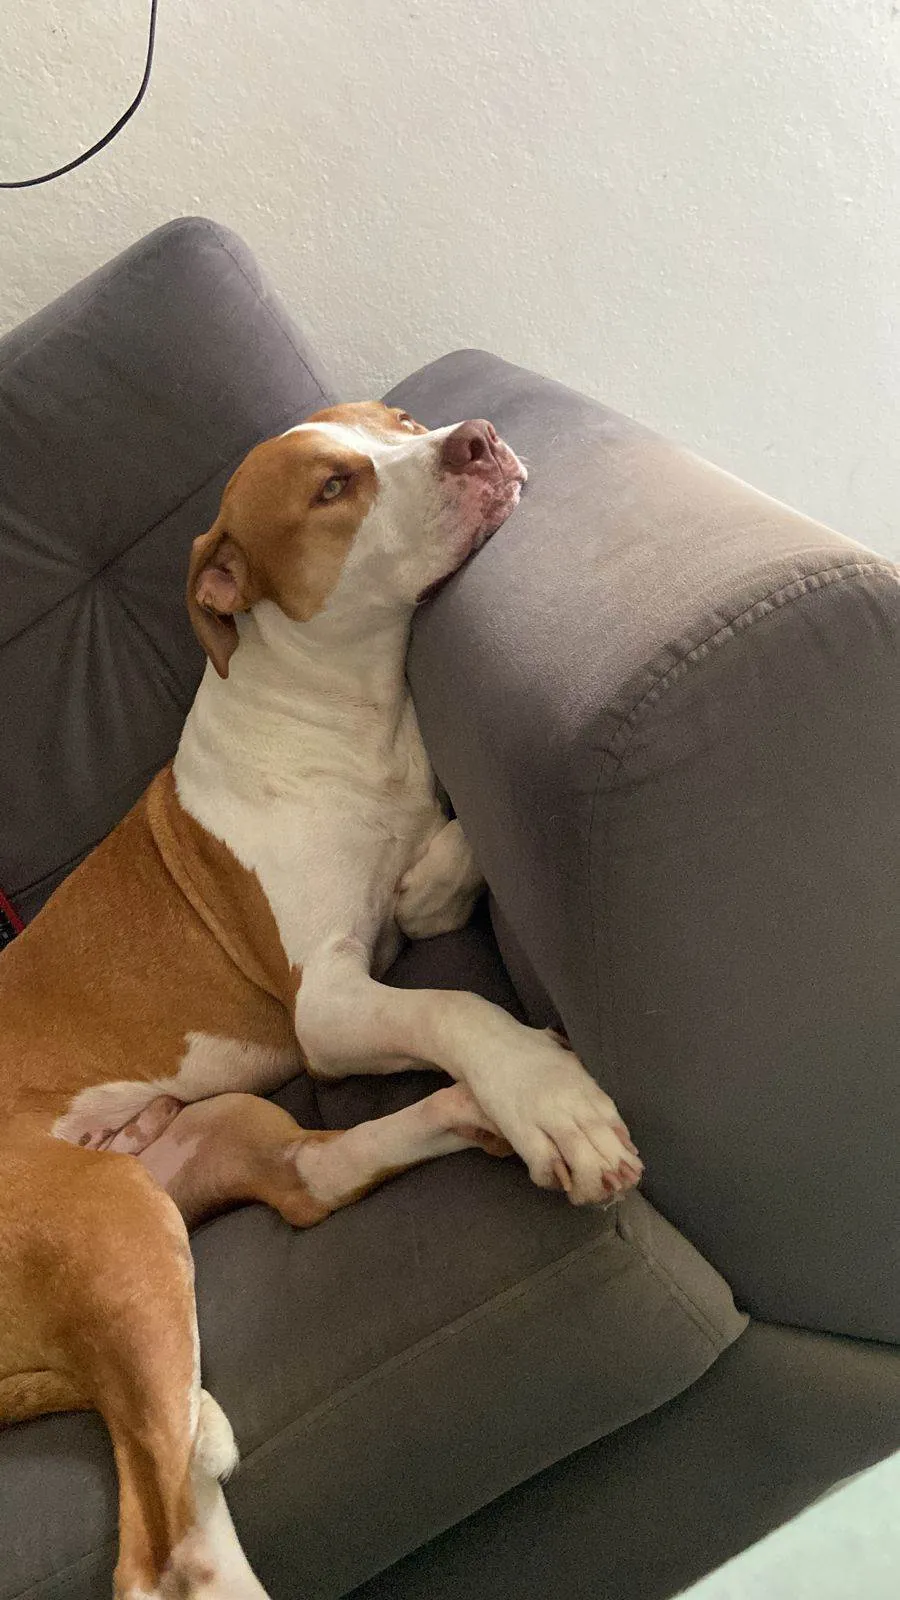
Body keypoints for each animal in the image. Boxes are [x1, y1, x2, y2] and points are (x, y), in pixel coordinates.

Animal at [0, 403, 642, 1598]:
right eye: (333, 487)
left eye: (399, 424)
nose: (475, 437)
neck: (345, 712)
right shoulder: (332, 1002)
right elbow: (454, 1010)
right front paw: (549, 1101)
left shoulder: (405, 901)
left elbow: (445, 854)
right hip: (111, 1229)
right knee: (162, 1552)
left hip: (196, 1142)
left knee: (309, 1181)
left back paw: (463, 1115)